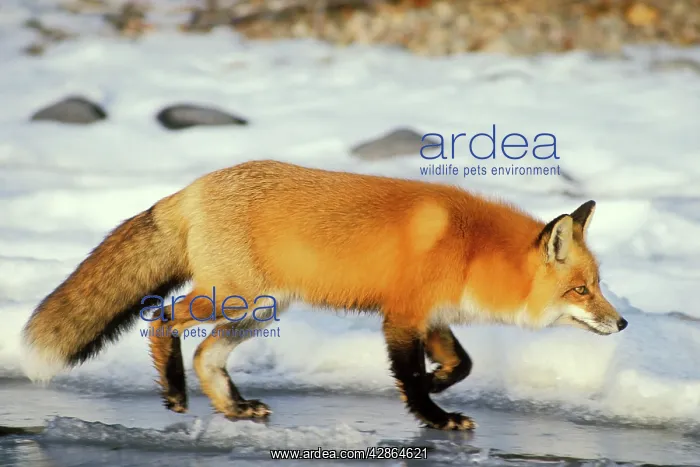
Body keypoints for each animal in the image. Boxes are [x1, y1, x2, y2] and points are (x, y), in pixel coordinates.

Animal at [21, 159, 627, 431]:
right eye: (580, 289)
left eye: (599, 286)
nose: (621, 325)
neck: (472, 250)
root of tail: (193, 187)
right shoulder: (401, 316)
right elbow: (412, 374)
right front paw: (431, 413)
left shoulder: (431, 316)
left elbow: (463, 363)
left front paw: (436, 386)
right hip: (233, 299)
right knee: (162, 318)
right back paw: (173, 390)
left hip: (259, 311)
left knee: (207, 354)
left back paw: (234, 407)